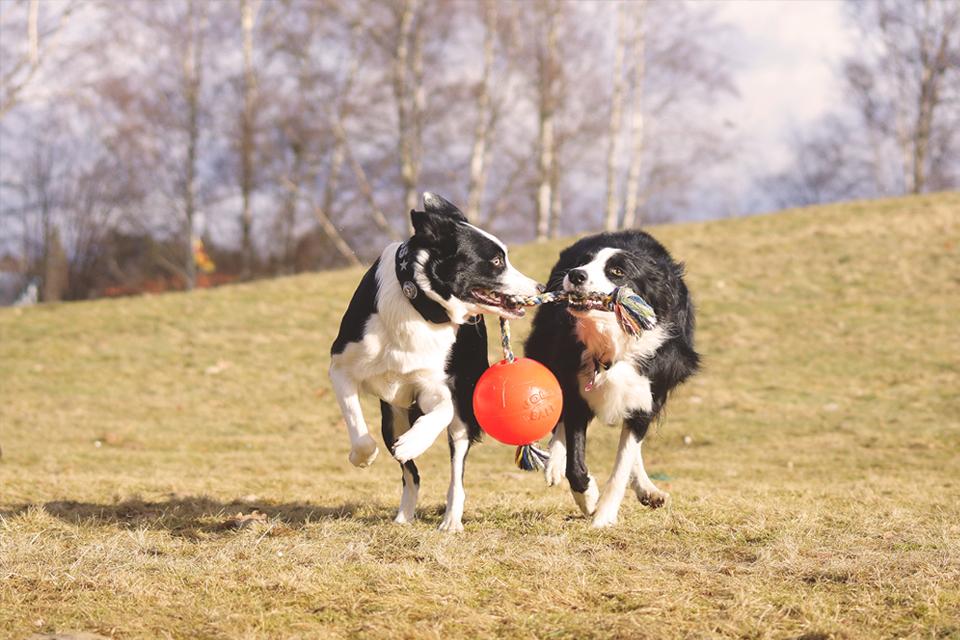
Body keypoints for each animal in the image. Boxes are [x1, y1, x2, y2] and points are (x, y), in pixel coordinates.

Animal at [330, 192, 540, 532]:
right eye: (496, 261)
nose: (540, 288)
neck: (419, 304)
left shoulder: (438, 384)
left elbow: (441, 411)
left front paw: (415, 442)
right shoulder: (341, 366)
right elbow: (356, 423)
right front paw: (362, 457)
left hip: (462, 415)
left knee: (456, 475)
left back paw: (451, 520)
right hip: (393, 418)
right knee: (410, 475)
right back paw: (404, 516)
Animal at [524, 232, 696, 528]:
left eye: (617, 272)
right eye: (584, 262)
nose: (575, 275)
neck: (613, 341)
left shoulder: (645, 399)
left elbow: (624, 462)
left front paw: (603, 517)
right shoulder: (577, 390)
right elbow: (575, 463)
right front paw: (589, 499)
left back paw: (648, 490)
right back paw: (555, 462)